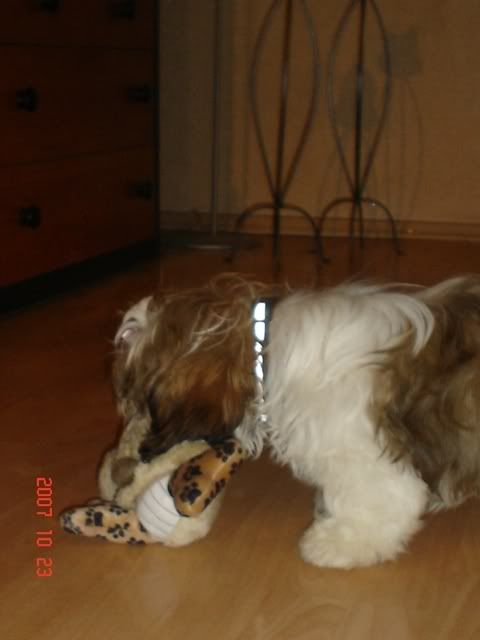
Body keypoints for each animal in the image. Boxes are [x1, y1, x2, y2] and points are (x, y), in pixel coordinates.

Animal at [111, 274, 480, 568]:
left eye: (142, 402)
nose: (134, 455)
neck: (265, 346)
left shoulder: (362, 452)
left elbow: (387, 499)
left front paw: (339, 542)